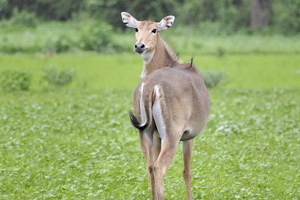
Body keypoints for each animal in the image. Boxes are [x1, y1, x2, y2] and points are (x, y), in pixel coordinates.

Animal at [120, 12, 210, 198]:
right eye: (136, 28)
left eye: (154, 29)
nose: (139, 46)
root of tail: (150, 86)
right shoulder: (189, 136)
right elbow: (187, 171)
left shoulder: (156, 135)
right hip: (171, 135)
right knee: (159, 167)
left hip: (145, 132)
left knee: (150, 167)